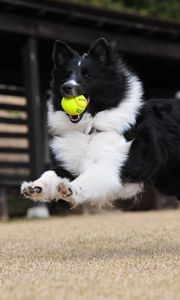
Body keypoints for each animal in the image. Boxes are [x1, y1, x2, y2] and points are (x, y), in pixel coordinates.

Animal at [20, 37, 180, 206]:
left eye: (87, 75)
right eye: (66, 75)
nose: (66, 87)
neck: (89, 129)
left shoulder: (109, 166)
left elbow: (86, 178)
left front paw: (70, 189)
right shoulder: (72, 164)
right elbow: (52, 172)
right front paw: (35, 186)